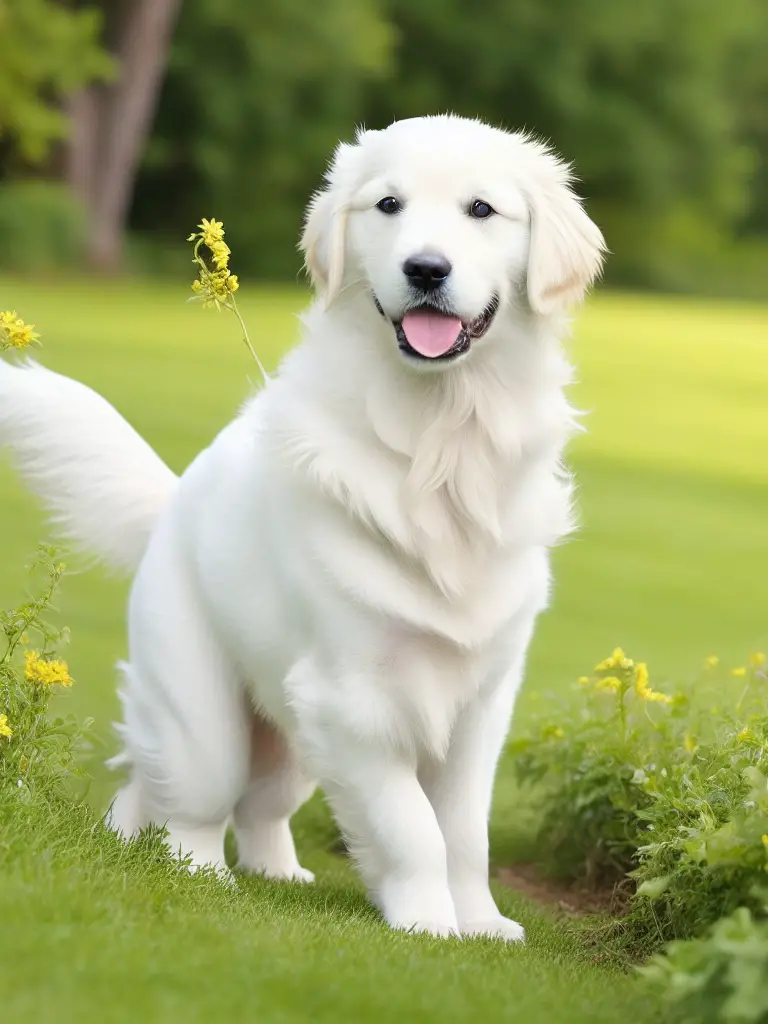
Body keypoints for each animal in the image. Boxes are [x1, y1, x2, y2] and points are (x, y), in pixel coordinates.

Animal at [0, 116, 606, 937]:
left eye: (481, 209)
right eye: (388, 205)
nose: (425, 268)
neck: (440, 442)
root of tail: (175, 500)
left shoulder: (482, 703)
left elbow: (464, 833)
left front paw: (481, 924)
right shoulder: (349, 698)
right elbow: (412, 826)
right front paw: (429, 922)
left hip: (289, 743)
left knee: (239, 805)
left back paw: (272, 872)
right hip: (206, 714)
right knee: (189, 800)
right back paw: (195, 873)